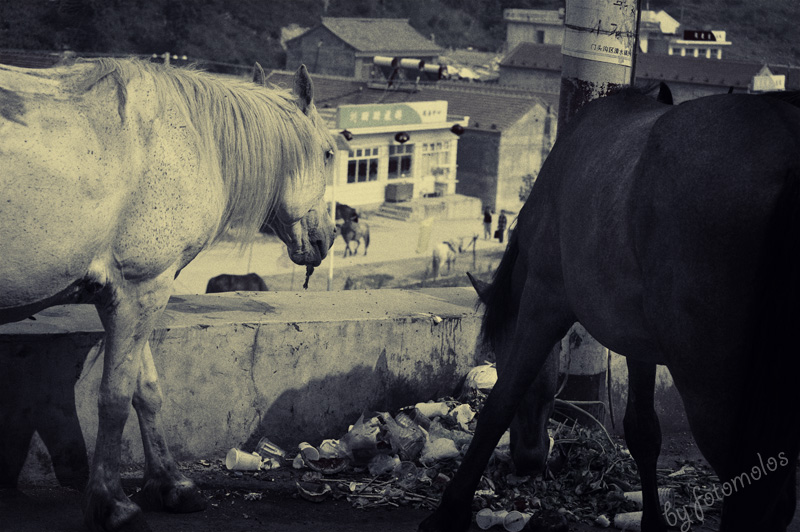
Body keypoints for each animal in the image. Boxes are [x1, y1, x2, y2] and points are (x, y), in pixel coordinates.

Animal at [0, 58, 338, 532]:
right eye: (328, 153)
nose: (327, 239)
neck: (184, 140)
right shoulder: (142, 288)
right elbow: (116, 399)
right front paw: (112, 504)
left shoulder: (133, 292)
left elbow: (147, 391)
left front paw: (171, 485)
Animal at [418, 88, 800, 532]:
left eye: (499, 348)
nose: (529, 460)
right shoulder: (638, 344)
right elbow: (642, 431)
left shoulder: (544, 303)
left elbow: (501, 400)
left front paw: (449, 510)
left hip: (712, 387)